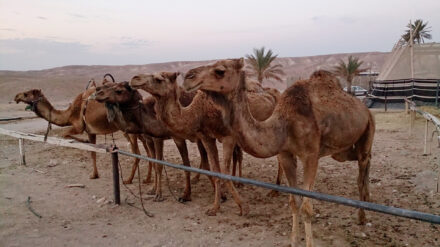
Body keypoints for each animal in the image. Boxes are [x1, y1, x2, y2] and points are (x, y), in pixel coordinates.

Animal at [13, 88, 156, 184]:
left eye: (26, 94)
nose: (16, 97)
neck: (69, 114)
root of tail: (140, 98)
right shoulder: (91, 131)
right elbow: (92, 152)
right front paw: (94, 175)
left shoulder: (79, 127)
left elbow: (65, 134)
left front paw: (83, 141)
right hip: (139, 130)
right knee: (148, 150)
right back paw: (147, 179)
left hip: (128, 130)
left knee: (137, 153)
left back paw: (128, 179)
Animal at [129, 70, 278, 215]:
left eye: (159, 79)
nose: (134, 78)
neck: (198, 111)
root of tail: (272, 94)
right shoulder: (206, 137)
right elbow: (215, 170)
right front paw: (215, 207)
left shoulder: (228, 137)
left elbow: (223, 171)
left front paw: (242, 207)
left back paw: (274, 191)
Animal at [182, 58, 374, 247]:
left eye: (220, 71)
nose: (188, 77)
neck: (285, 125)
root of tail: (365, 108)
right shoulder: (286, 155)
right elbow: (294, 201)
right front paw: (293, 240)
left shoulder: (311, 156)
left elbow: (306, 207)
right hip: (340, 151)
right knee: (362, 160)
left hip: (368, 128)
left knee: (362, 166)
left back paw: (363, 216)